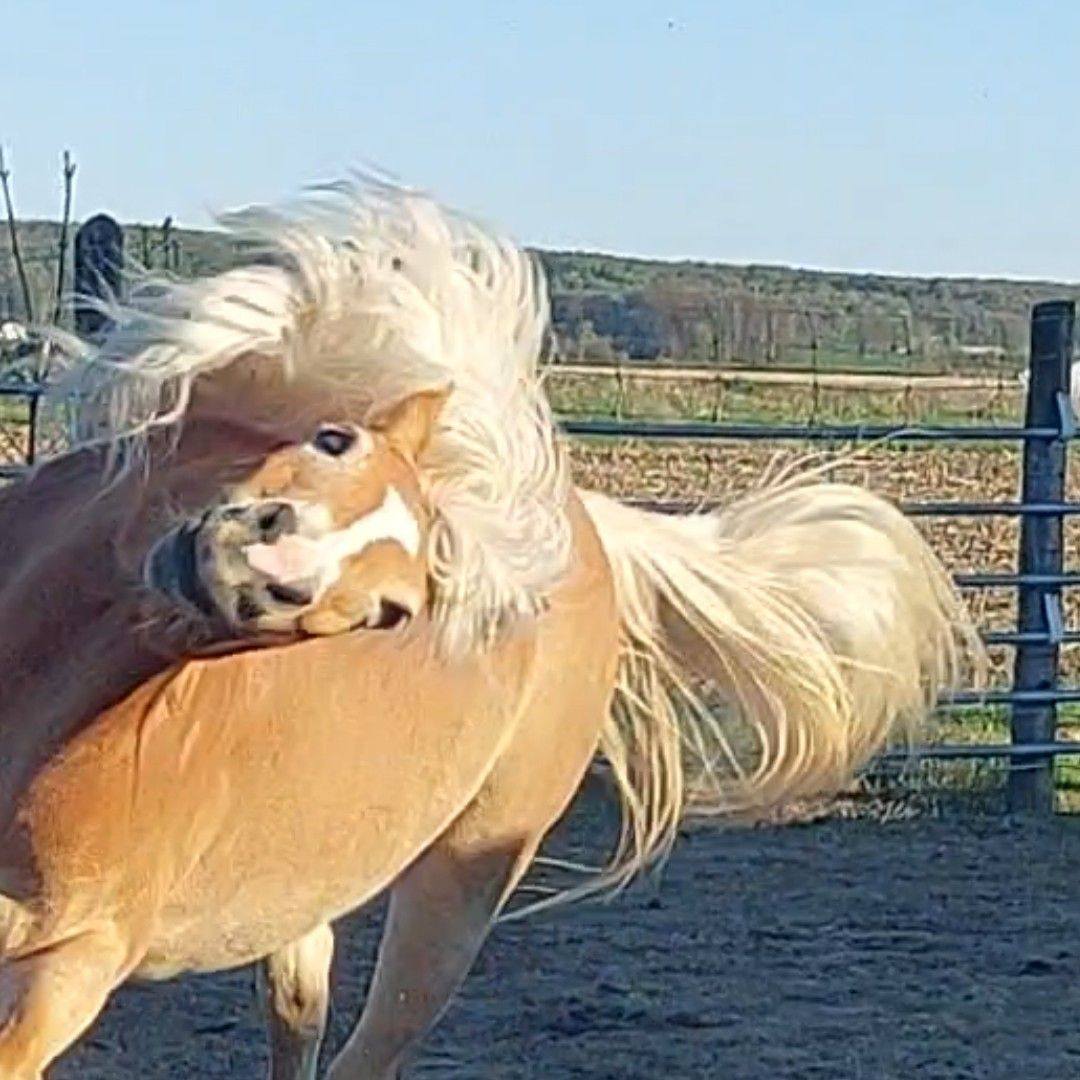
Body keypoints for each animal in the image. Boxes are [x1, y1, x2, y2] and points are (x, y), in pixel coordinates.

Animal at [0, 181, 980, 1078]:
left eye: (391, 612)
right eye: (332, 440)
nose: (261, 568)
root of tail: (586, 526)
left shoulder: (69, 967)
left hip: (456, 893)